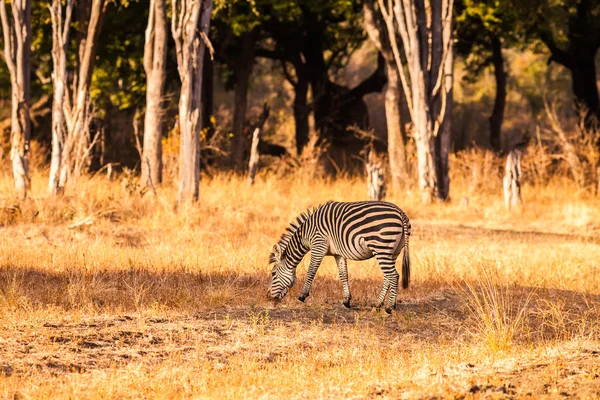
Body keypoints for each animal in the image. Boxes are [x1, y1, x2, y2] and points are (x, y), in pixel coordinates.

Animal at [270, 202, 410, 314]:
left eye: (273, 274)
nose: (268, 297)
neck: (306, 234)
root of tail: (400, 212)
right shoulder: (339, 253)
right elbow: (343, 275)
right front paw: (346, 301)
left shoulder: (318, 246)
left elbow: (311, 271)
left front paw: (302, 295)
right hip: (393, 251)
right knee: (388, 277)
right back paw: (378, 305)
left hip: (381, 248)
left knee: (393, 275)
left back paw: (389, 308)